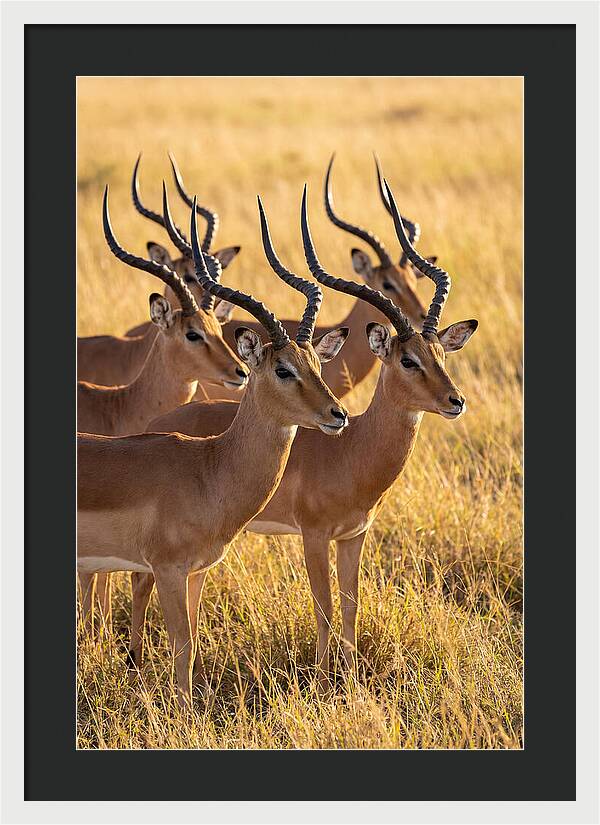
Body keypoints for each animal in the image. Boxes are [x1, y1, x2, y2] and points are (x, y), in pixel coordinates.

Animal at [77, 193, 349, 703]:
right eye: (282, 368)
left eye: (316, 363)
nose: (337, 414)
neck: (210, 469)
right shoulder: (166, 569)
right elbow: (182, 646)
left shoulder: (197, 570)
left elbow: (195, 638)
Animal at [129, 180, 478, 689]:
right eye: (407, 359)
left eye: (441, 355)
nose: (455, 401)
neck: (354, 450)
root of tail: (157, 425)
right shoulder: (313, 535)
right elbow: (325, 607)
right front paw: (322, 681)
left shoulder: (354, 535)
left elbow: (351, 606)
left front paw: (350, 681)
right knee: (140, 582)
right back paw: (134, 662)